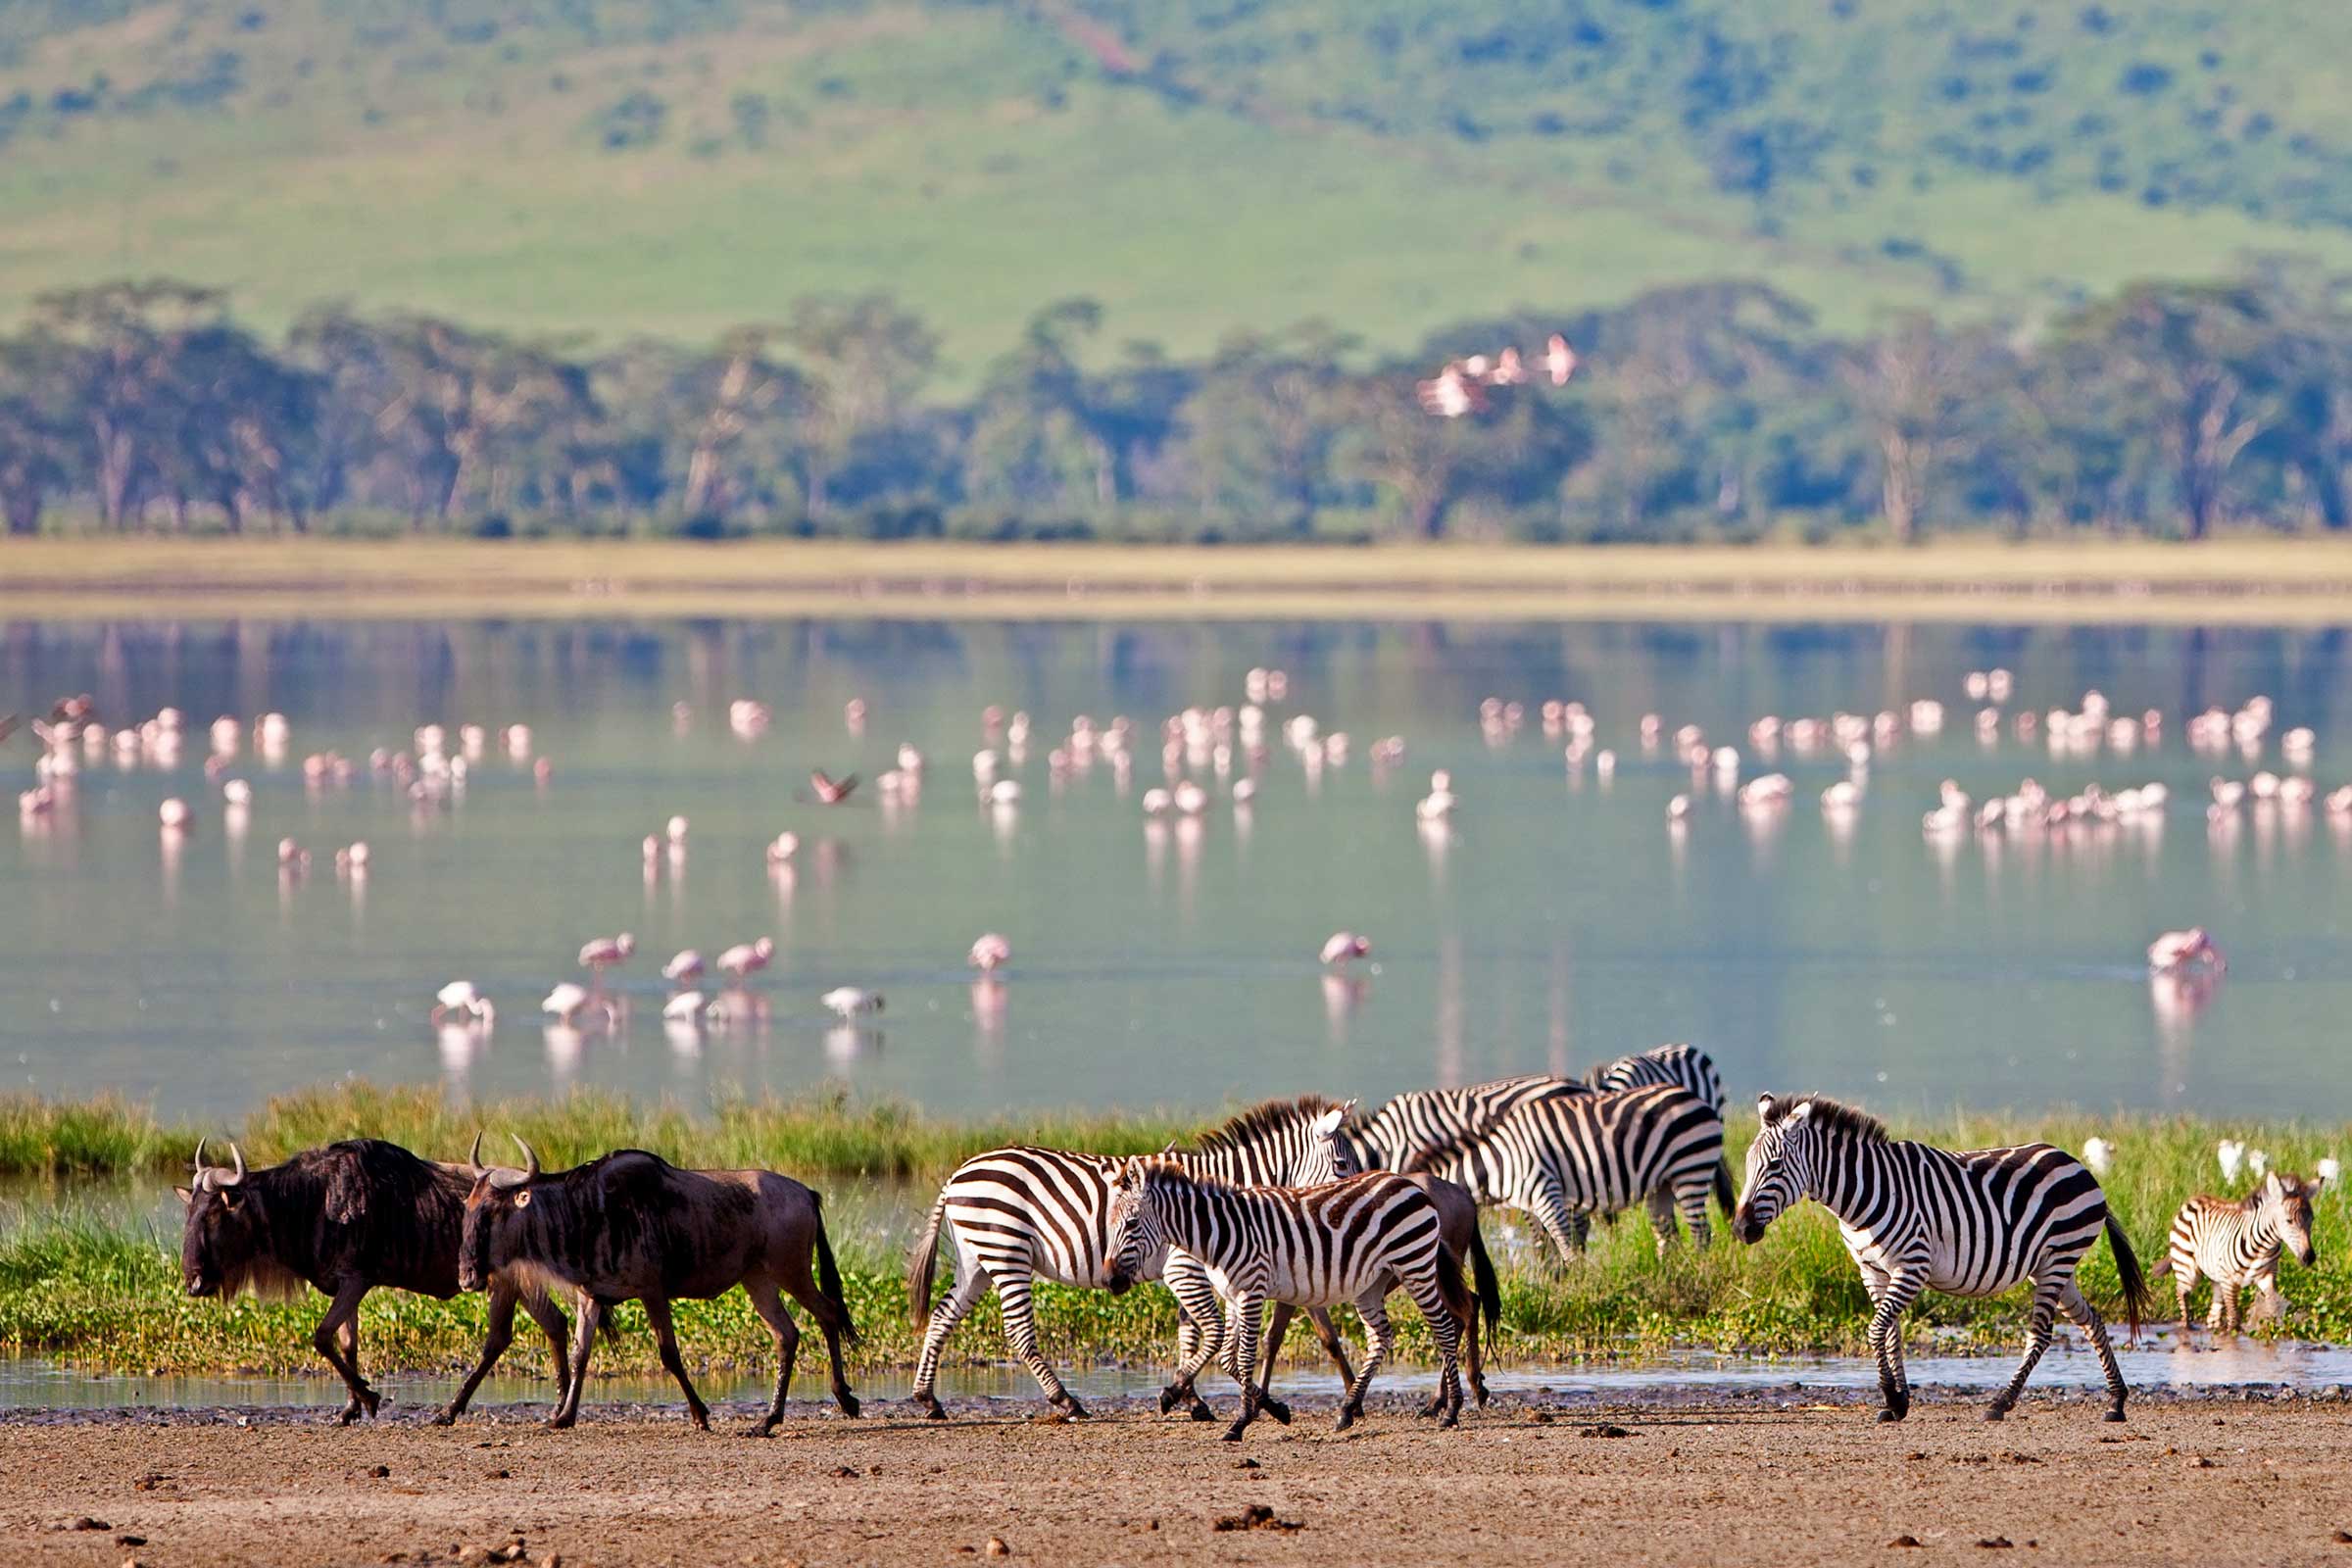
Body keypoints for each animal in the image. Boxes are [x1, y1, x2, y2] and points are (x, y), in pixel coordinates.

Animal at [903, 1091, 1364, 1419]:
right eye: (1343, 1164)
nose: (1356, 1202)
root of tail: (959, 1173)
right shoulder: (1184, 1268)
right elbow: (1215, 1335)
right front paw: (1216, 1398)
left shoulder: (1189, 1273)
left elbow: (1191, 1335)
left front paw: (1190, 1399)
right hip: (1007, 1252)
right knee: (1018, 1332)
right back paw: (1066, 1401)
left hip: (977, 1259)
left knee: (943, 1315)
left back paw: (928, 1399)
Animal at [1105, 1161, 1467, 1439]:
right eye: (1110, 1225)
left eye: (1132, 1223)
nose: (1110, 1280)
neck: (1219, 1235)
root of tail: (1407, 1183)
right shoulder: (1232, 1296)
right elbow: (1227, 1358)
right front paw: (1275, 1409)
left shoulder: (1252, 1290)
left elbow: (1245, 1356)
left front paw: (1240, 1423)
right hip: (1372, 1283)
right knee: (1381, 1337)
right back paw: (1347, 1410)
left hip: (1414, 1264)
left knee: (1445, 1328)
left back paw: (1450, 1411)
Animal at [1392, 1081, 1731, 1259]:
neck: (1499, 1162)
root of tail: (1695, 1098)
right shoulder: (1532, 1203)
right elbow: (1548, 1248)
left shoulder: (1546, 1191)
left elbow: (1566, 1246)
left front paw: (1576, 1288)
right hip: (1662, 1183)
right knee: (1668, 1235)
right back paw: (1669, 1274)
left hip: (1690, 1170)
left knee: (1702, 1233)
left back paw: (1698, 1270)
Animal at [1731, 1100, 2154, 1429]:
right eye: (1748, 1165)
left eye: (1775, 1166)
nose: (1739, 1228)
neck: (1860, 1197)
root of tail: (2078, 1165)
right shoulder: (1873, 1271)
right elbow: (1891, 1334)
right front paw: (1898, 1403)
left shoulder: (1912, 1266)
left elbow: (1875, 1330)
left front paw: (1891, 1397)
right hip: (2054, 1268)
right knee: (2092, 1322)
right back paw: (2116, 1402)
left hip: (2057, 1259)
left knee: (2041, 1335)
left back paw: (2000, 1404)